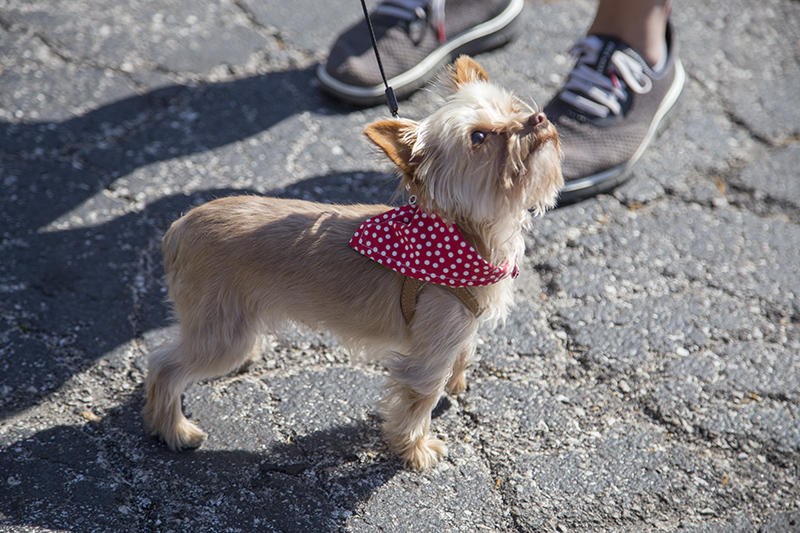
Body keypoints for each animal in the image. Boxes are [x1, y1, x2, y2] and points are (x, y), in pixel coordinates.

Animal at [142, 56, 564, 468]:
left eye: (512, 107)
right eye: (479, 137)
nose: (538, 118)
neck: (467, 236)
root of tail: (177, 229)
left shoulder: (459, 328)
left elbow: (465, 351)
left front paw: (457, 381)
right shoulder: (428, 355)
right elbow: (420, 400)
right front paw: (415, 449)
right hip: (221, 333)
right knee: (164, 366)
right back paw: (175, 430)